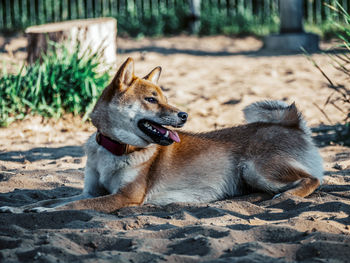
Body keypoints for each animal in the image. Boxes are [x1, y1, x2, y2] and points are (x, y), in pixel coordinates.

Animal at [0, 57, 324, 214]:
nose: (184, 115)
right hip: (250, 176)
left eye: (164, 98)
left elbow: (70, 206)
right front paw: (18, 207)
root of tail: (292, 125)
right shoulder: (91, 191)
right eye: (151, 100)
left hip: (256, 169)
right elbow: (58, 200)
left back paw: (287, 196)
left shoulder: (124, 197)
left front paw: (41, 210)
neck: (115, 150)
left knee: (313, 180)